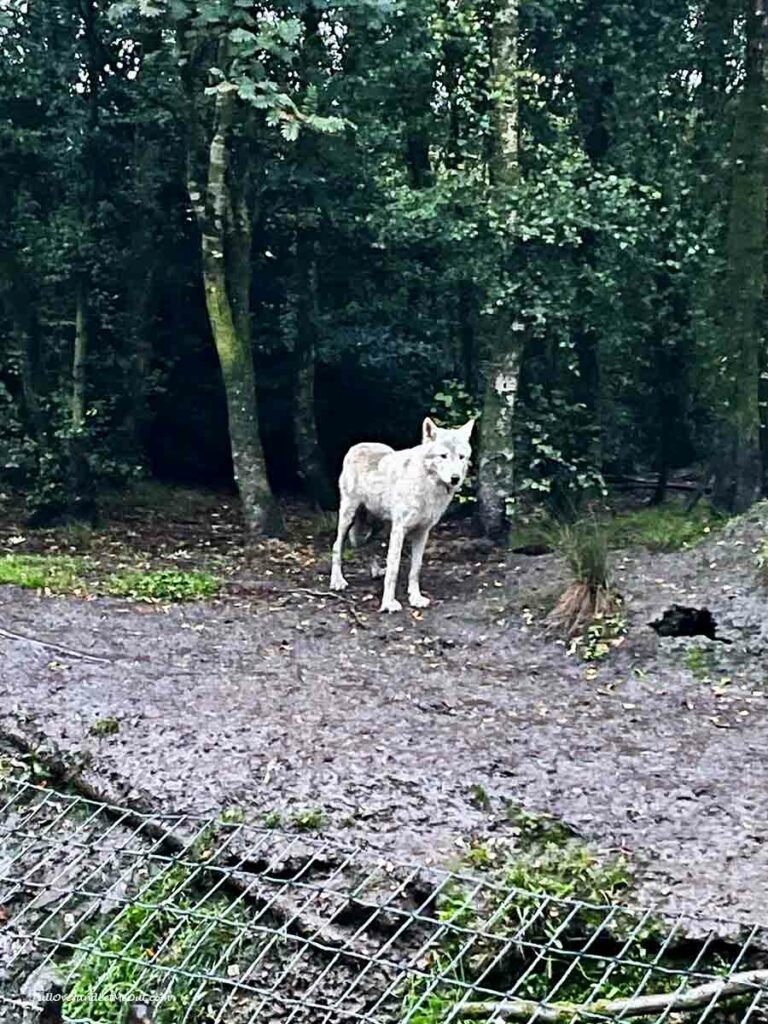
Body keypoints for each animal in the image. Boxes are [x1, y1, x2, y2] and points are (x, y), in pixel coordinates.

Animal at [329, 417, 475, 612]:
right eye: (443, 456)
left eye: (461, 457)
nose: (455, 478)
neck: (428, 487)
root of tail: (358, 445)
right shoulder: (400, 530)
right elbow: (394, 569)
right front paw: (388, 603)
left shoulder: (422, 532)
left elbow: (415, 569)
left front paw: (416, 598)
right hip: (349, 516)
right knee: (337, 546)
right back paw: (337, 581)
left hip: (380, 526)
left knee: (367, 545)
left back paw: (376, 571)